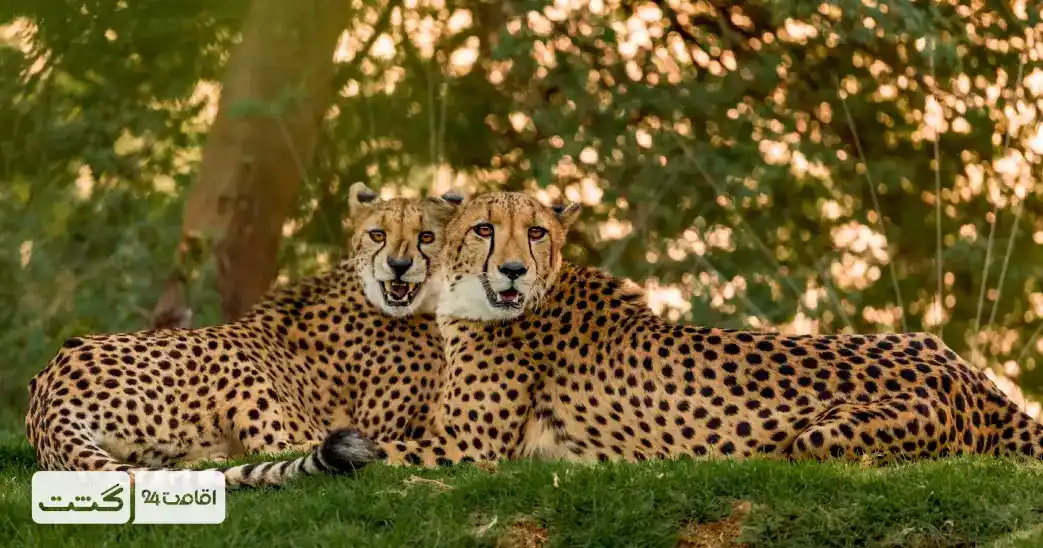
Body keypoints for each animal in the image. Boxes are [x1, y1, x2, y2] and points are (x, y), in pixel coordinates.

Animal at [24, 183, 462, 487]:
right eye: (377, 234)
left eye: (426, 236)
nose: (398, 266)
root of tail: (51, 394)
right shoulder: (392, 426)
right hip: (235, 363)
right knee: (289, 447)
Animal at [317, 190, 1043, 472]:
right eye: (483, 229)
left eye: (537, 232)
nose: (515, 269)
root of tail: (975, 380)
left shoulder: (467, 450)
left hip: (823, 434)